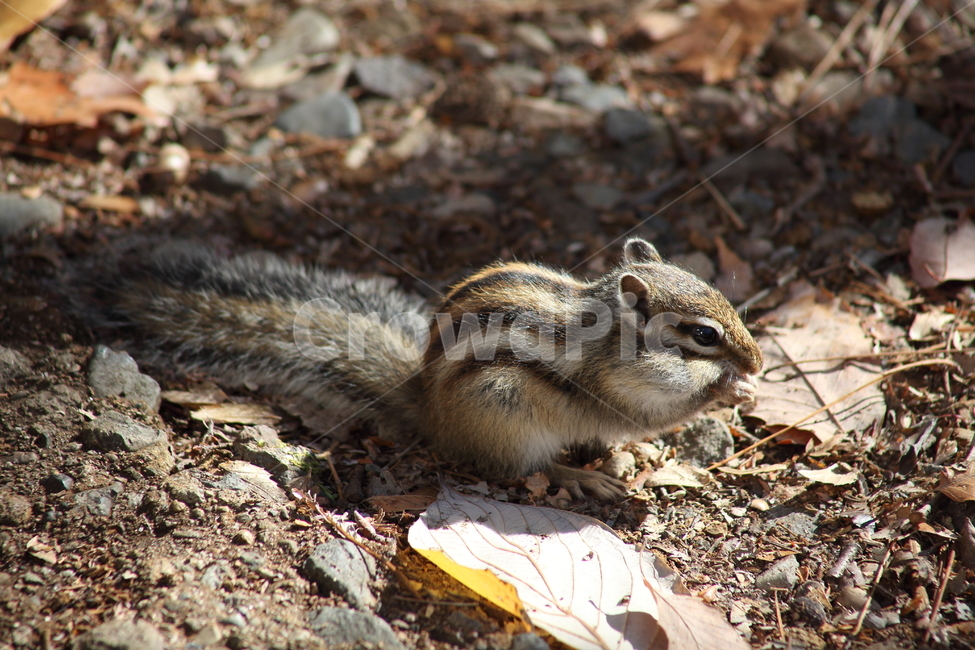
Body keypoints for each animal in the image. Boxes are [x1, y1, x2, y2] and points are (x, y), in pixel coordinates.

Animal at [83, 238, 763, 499]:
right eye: (703, 335)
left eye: (723, 302)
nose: (756, 358)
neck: (612, 331)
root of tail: (432, 418)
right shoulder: (616, 385)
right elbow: (650, 409)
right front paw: (729, 388)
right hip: (504, 411)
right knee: (525, 468)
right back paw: (581, 476)